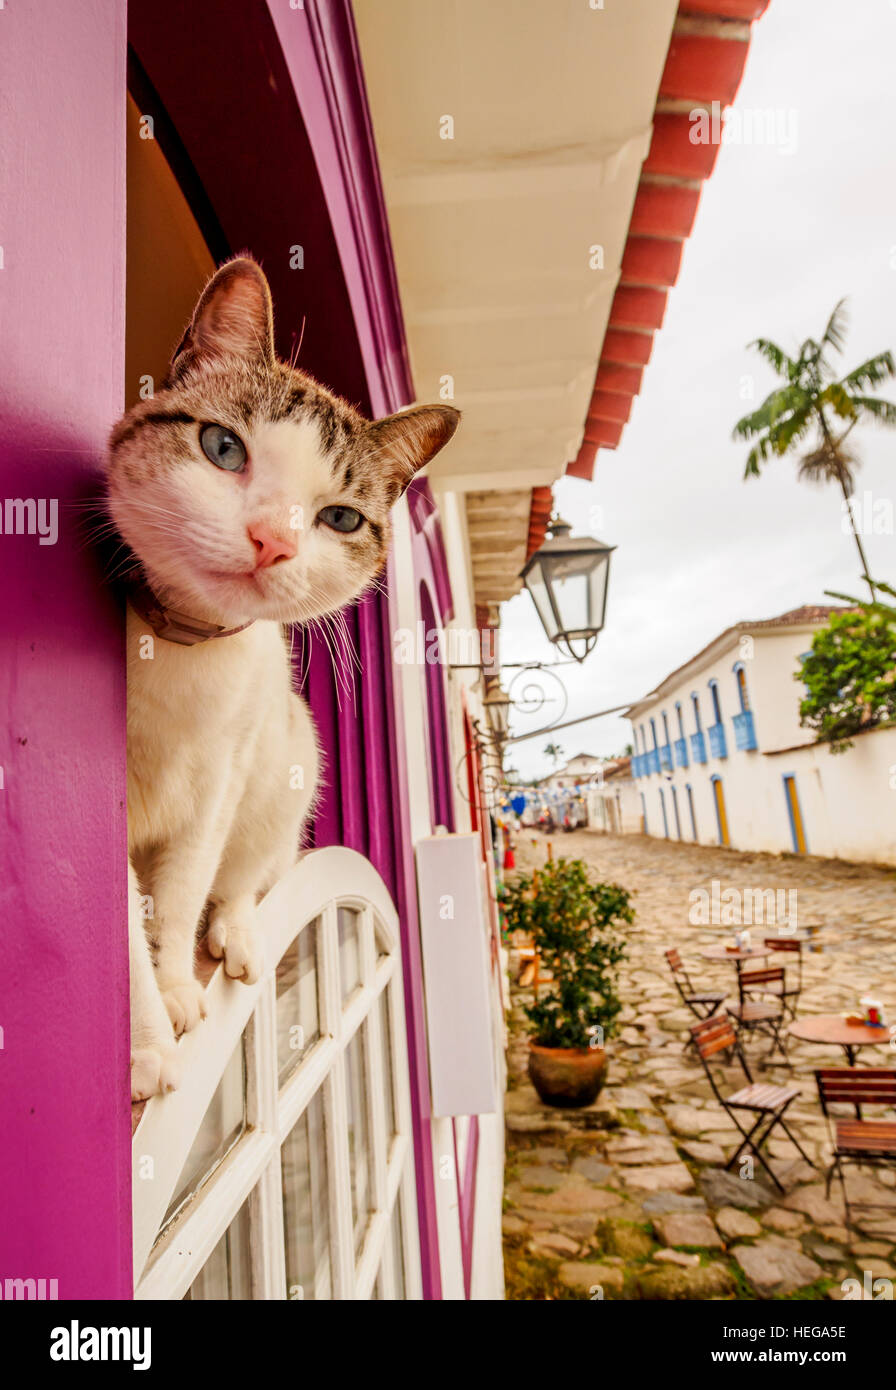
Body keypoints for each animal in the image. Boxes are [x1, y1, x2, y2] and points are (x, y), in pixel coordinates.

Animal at [107, 255, 458, 1100]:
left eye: (340, 519)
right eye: (222, 448)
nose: (271, 539)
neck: (185, 650)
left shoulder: (218, 778)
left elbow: (182, 894)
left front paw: (174, 989)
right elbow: (126, 924)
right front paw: (146, 1045)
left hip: (290, 758)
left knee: (245, 875)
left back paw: (234, 934)